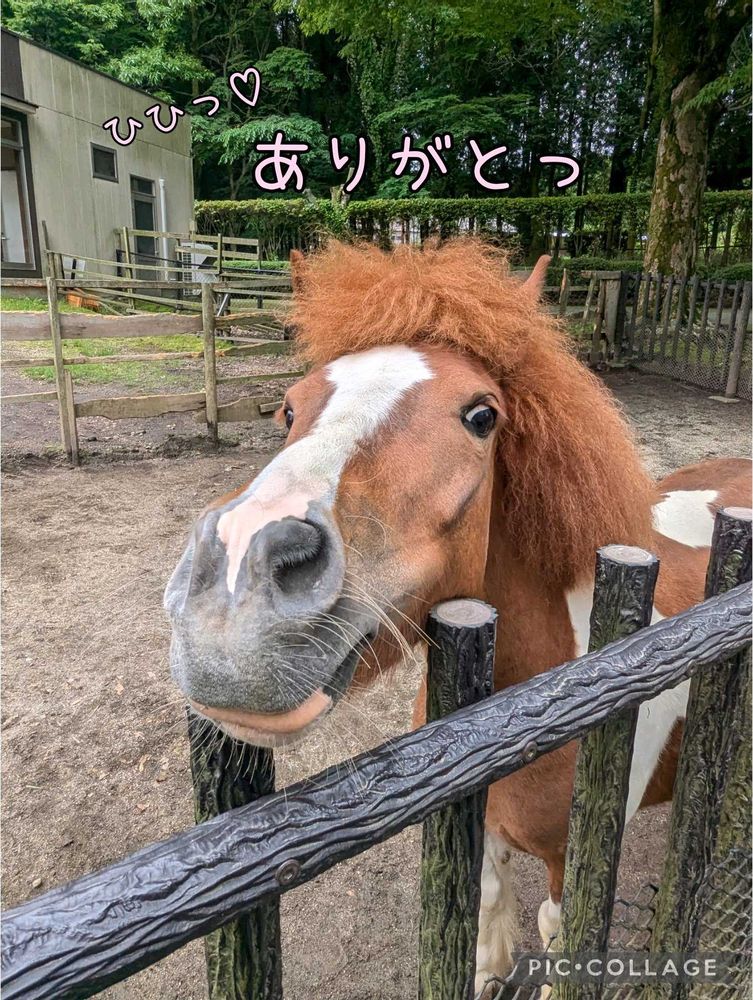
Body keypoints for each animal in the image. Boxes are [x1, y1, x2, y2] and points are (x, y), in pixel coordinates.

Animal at [164, 239, 751, 989]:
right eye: (288, 411)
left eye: (482, 415)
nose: (235, 585)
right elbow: (491, 905)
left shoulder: (573, 865)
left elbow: (558, 938)